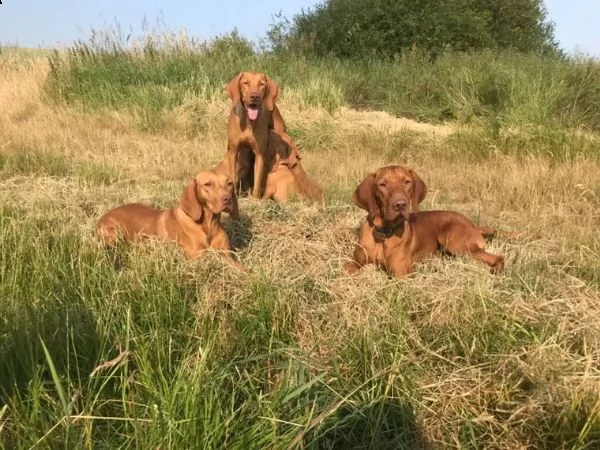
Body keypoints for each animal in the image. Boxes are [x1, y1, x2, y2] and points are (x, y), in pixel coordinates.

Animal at [96, 169, 241, 268]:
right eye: (207, 184)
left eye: (229, 184)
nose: (227, 199)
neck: (208, 225)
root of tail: (102, 217)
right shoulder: (196, 260)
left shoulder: (228, 256)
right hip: (115, 236)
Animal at [344, 165, 504, 278]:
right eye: (382, 185)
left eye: (407, 182)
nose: (400, 204)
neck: (383, 232)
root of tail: (472, 224)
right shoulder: (355, 263)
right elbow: (348, 270)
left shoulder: (401, 273)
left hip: (452, 239)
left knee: (498, 257)